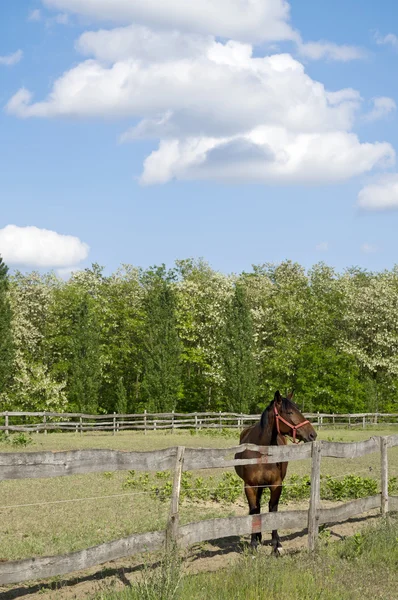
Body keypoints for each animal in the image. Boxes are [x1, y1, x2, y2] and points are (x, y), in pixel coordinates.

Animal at [235, 390, 316, 552]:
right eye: (290, 412)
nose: (312, 434)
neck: (262, 452)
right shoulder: (250, 486)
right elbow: (253, 510)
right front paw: (253, 543)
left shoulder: (276, 485)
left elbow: (273, 510)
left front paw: (276, 544)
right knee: (257, 507)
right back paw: (258, 536)